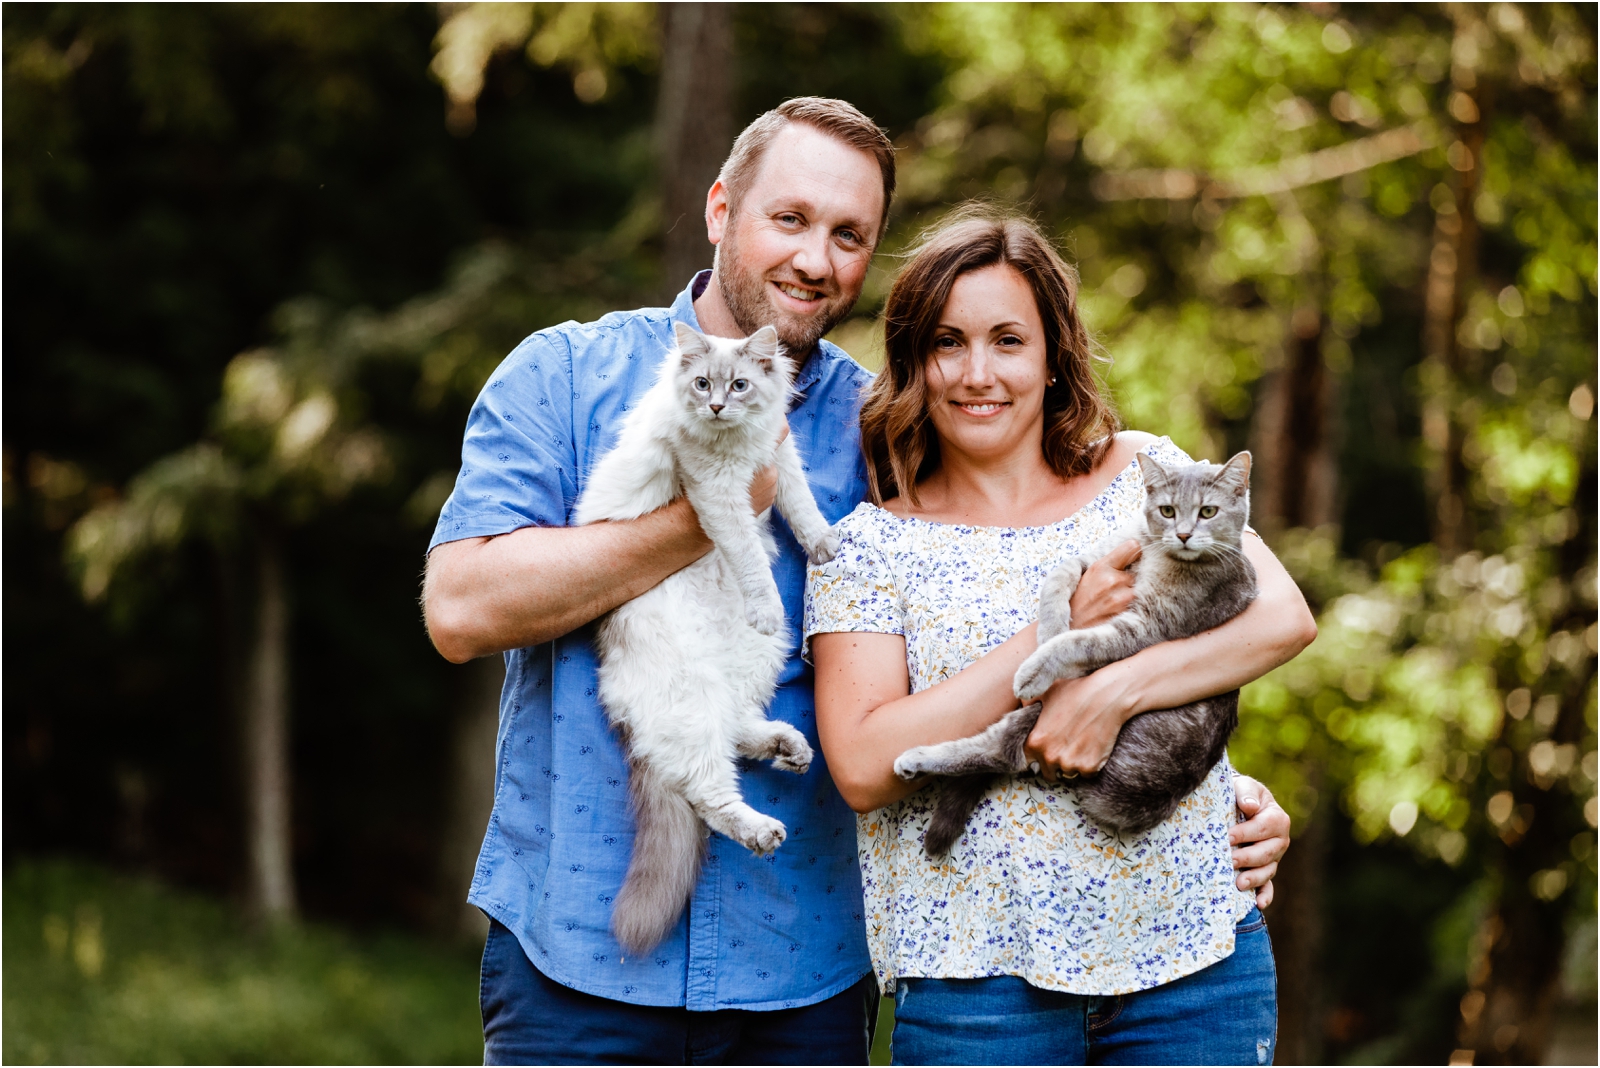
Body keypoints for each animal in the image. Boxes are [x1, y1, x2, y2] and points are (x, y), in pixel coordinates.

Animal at [572, 319, 838, 952]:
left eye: (739, 384)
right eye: (702, 385)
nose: (716, 406)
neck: (737, 442)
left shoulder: (779, 459)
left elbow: (804, 507)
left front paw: (824, 545)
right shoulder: (717, 494)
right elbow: (749, 558)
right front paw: (766, 597)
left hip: (755, 658)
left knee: (738, 726)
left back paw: (790, 749)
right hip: (691, 700)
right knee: (710, 792)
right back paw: (763, 828)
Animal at [896, 454, 1254, 856]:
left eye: (1208, 511)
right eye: (1167, 510)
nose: (1184, 534)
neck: (1156, 555)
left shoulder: (1148, 628)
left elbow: (1078, 642)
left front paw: (1036, 666)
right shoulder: (1098, 555)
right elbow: (1057, 578)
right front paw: (1050, 627)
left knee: (999, 749)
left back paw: (917, 759)